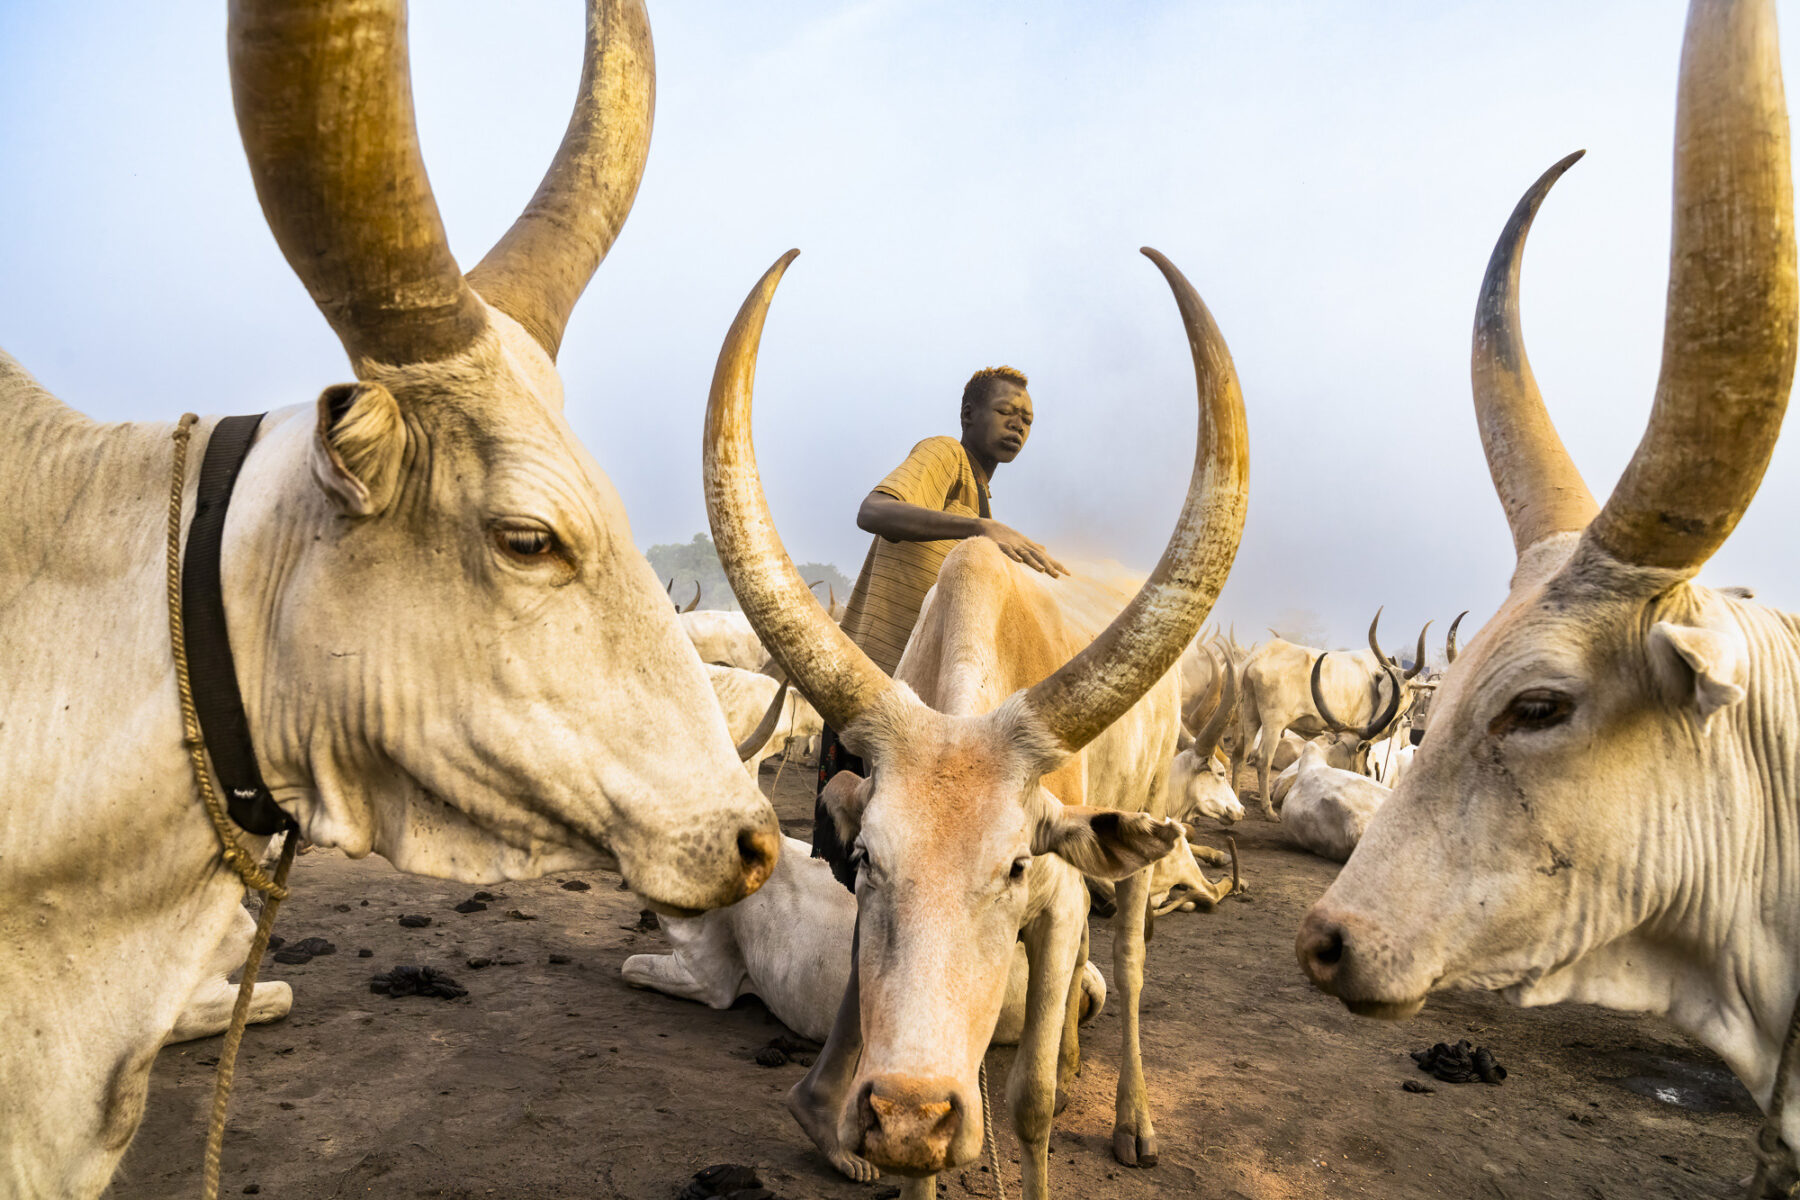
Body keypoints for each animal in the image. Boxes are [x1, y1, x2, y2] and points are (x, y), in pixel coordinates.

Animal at [705, 246, 1252, 1200]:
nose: (912, 1109)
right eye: (864, 861)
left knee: (1130, 962)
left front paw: (1051, 1099)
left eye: (1014, 864)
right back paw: (1071, 1057)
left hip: (1146, 828)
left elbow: (1029, 1104)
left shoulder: (1063, 890)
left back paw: (1129, 1117)